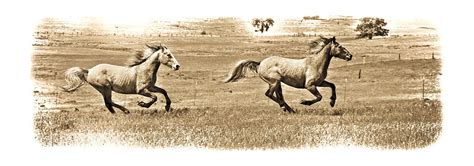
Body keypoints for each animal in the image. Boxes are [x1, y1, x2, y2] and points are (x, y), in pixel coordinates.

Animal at [223, 36, 352, 113]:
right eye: (339, 46)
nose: (350, 56)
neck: (316, 63)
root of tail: (260, 64)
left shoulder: (320, 83)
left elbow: (332, 85)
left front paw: (332, 102)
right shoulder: (310, 85)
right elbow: (319, 97)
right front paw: (304, 102)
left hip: (277, 83)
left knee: (278, 95)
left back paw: (288, 109)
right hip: (274, 82)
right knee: (269, 94)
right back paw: (286, 108)